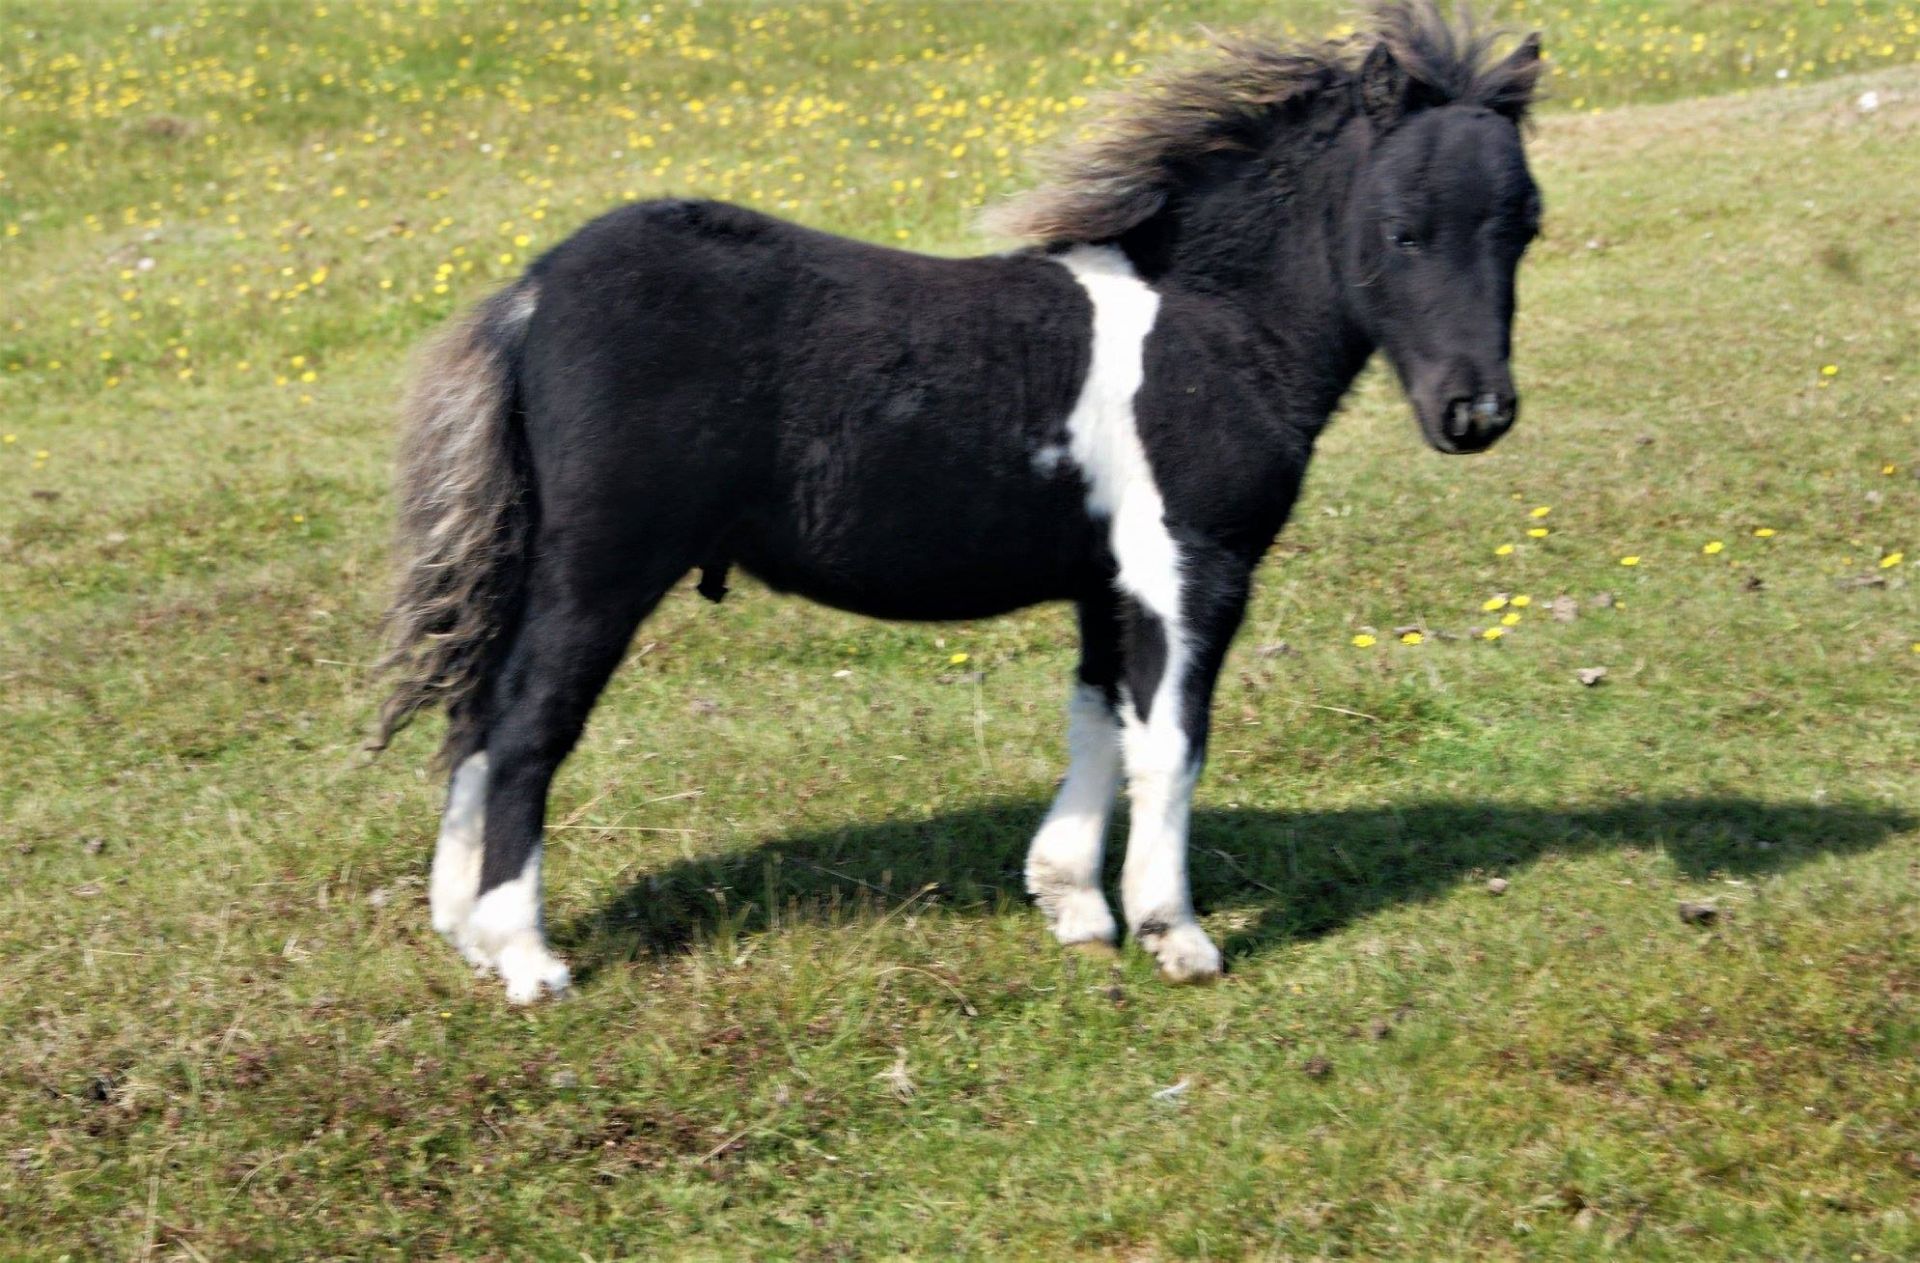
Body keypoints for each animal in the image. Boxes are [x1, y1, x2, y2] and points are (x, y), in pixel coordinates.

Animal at [370, 2, 1543, 1005]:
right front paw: (1176, 934)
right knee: (527, 719)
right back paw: (525, 954)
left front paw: (1074, 904)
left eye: (1524, 225)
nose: (1476, 411)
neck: (1210, 328)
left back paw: (463, 929)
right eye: (1400, 228)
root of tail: (533, 292)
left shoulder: (1107, 579)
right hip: (604, 563)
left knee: (476, 707)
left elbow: (1101, 719)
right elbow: (1173, 738)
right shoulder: (1193, 563)